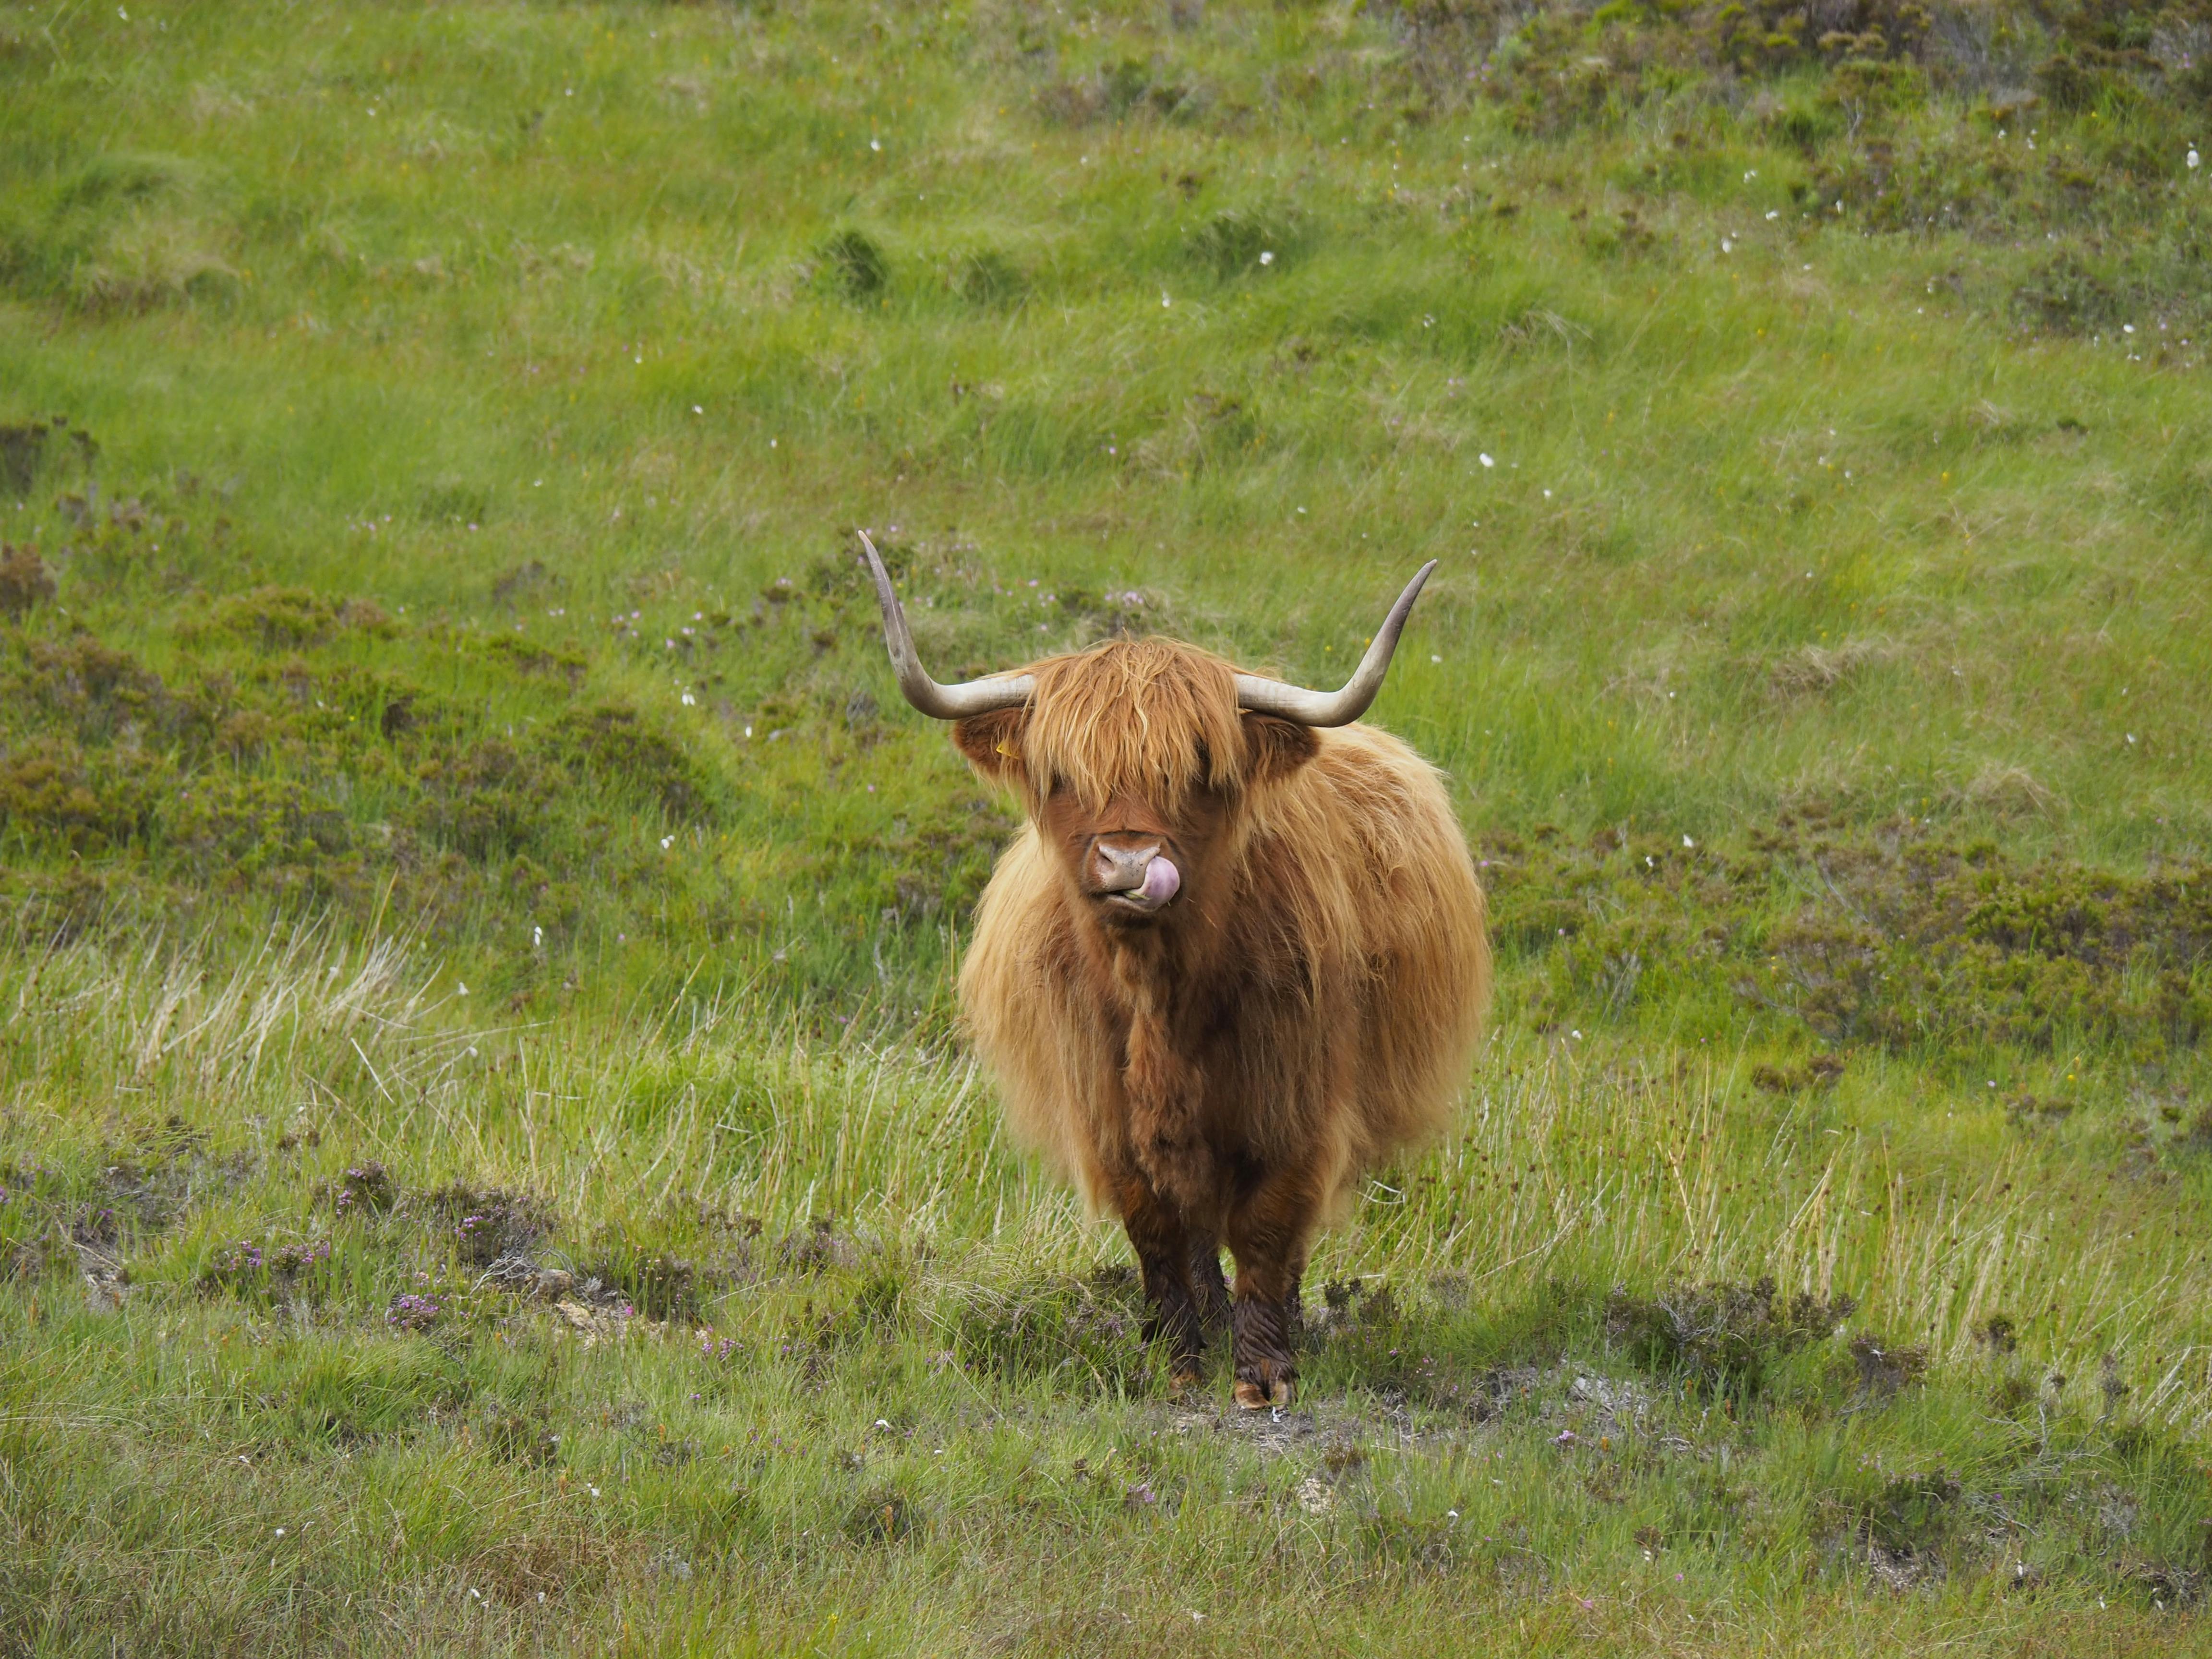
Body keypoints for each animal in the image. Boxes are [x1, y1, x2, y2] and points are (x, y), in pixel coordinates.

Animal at [861, 533, 1490, 1409]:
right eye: (1061, 773)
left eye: (1196, 769)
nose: (1129, 864)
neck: (1161, 997)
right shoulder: (1108, 1116)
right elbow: (1158, 1235)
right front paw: (1182, 1364)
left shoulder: (1296, 1104)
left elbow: (1268, 1228)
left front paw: (1263, 1375)